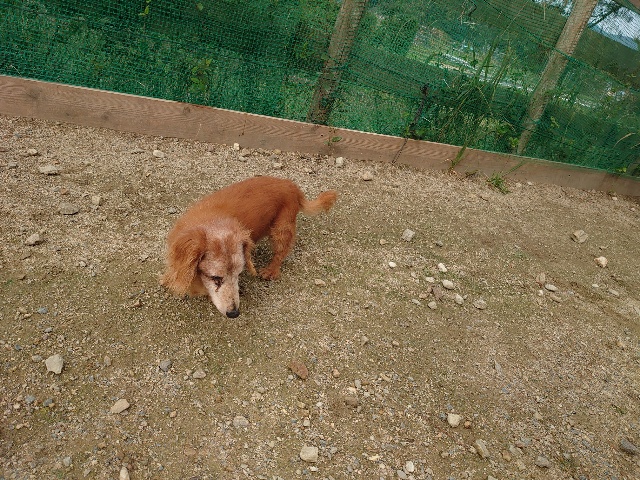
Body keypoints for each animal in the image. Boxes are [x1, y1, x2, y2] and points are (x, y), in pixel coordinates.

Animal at [161, 176, 337, 318]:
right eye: (216, 278)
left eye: (239, 274)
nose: (234, 313)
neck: (210, 222)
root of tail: (292, 186)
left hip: (281, 229)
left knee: (281, 253)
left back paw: (271, 271)